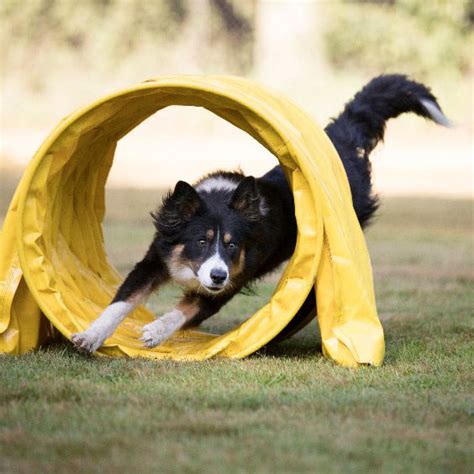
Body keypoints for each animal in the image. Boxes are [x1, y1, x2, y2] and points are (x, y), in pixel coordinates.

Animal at [70, 72, 448, 350]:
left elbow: (184, 310)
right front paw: (90, 336)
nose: (217, 275)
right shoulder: (156, 258)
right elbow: (120, 301)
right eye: (201, 241)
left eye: (232, 245)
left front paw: (155, 330)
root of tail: (340, 144)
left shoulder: (229, 283)